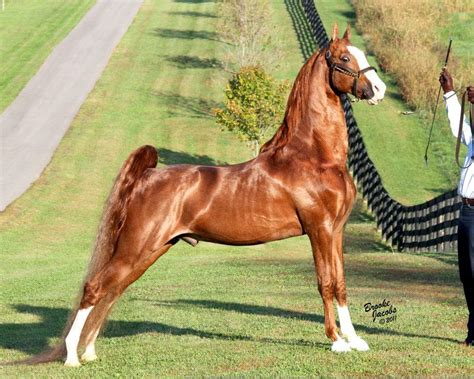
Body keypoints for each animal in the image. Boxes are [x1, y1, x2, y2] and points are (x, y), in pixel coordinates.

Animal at [28, 24, 388, 368]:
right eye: (344, 58)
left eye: (360, 53)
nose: (379, 90)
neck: (314, 156)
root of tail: (146, 177)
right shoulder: (319, 229)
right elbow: (325, 282)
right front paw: (336, 341)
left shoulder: (335, 231)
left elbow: (341, 283)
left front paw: (354, 340)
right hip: (135, 249)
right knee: (94, 288)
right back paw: (72, 357)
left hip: (150, 251)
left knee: (112, 290)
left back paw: (88, 352)